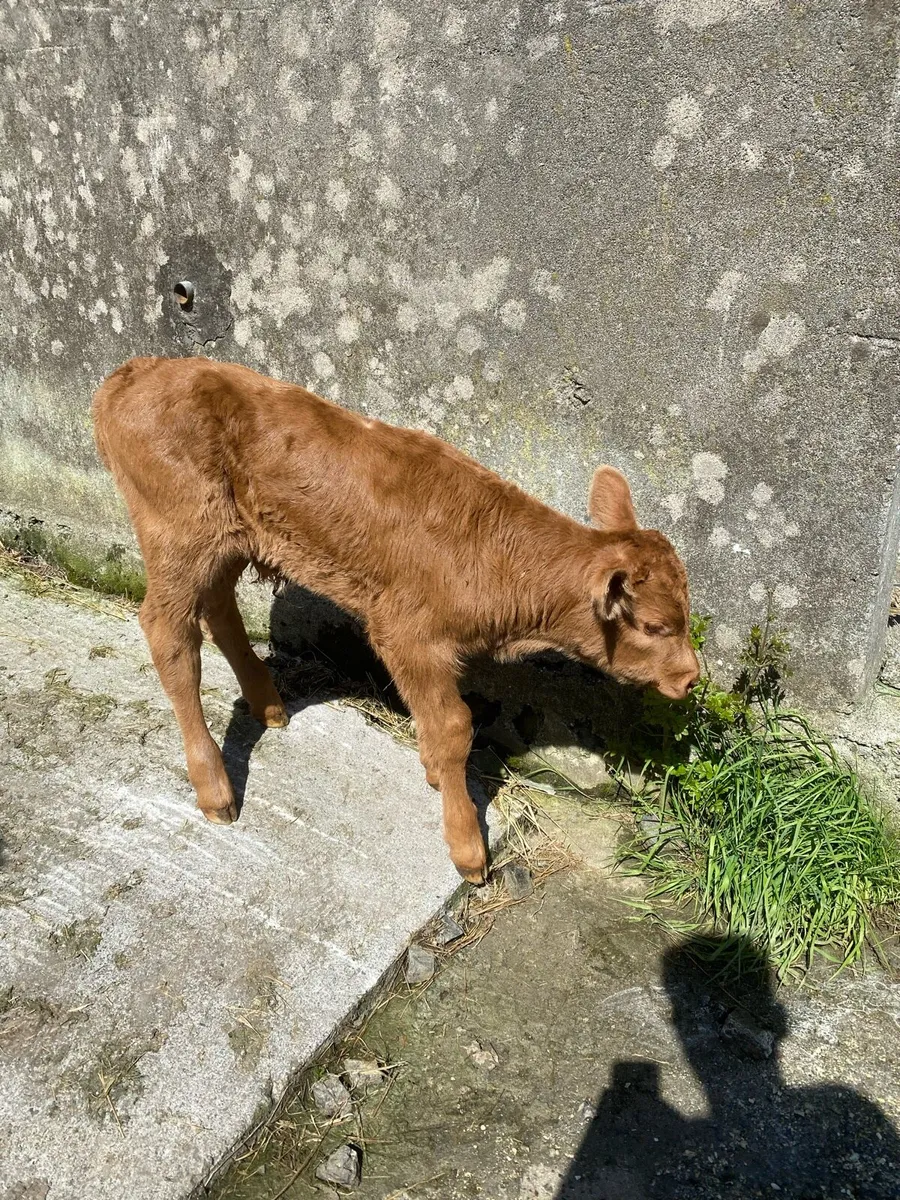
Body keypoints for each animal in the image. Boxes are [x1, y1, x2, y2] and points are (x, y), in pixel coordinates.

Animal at [92, 356, 699, 883]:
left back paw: (268, 706)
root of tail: (132, 373)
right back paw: (215, 788)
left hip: (227, 541)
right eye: (653, 626)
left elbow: (437, 723)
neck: (494, 554)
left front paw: (433, 771)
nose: (691, 677)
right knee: (170, 634)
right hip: (177, 533)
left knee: (218, 607)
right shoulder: (408, 634)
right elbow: (455, 727)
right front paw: (467, 847)